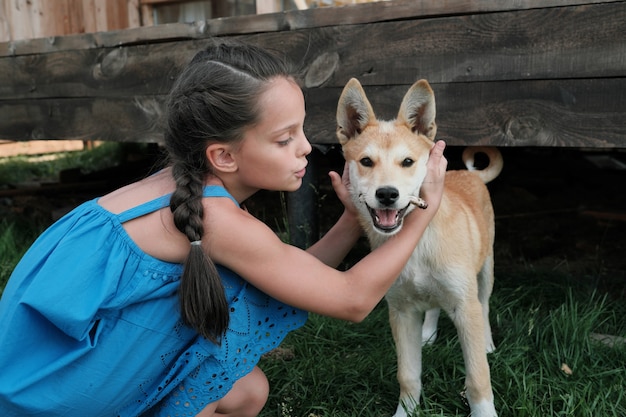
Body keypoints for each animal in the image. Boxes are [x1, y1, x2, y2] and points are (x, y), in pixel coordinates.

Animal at [334, 78, 500, 416]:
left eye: (407, 162)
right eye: (366, 161)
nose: (387, 194)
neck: (416, 241)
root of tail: (469, 174)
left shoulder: (465, 307)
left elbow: (478, 379)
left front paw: (485, 412)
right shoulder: (400, 312)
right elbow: (408, 375)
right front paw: (405, 412)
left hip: (485, 270)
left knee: (485, 303)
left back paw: (488, 342)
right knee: (435, 306)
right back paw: (429, 333)